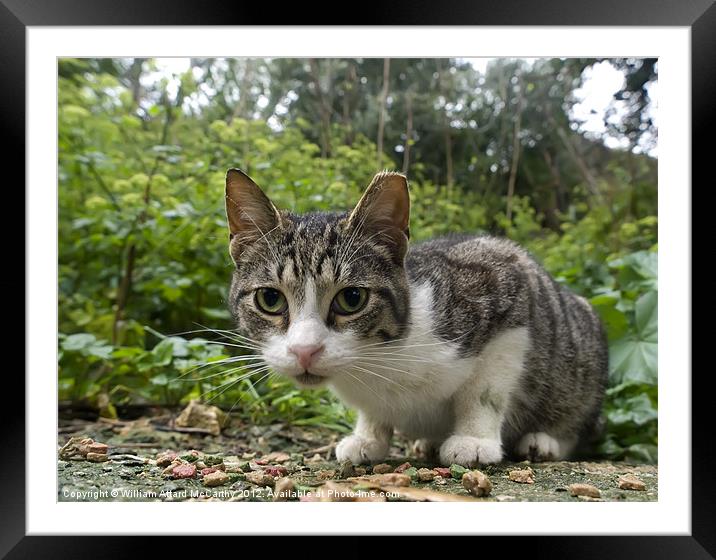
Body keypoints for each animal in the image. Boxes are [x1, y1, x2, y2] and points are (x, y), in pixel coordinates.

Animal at [222, 168, 604, 466]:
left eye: (352, 299)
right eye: (270, 299)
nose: (304, 351)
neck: (380, 360)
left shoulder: (507, 284)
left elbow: (485, 390)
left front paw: (473, 439)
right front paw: (369, 437)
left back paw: (544, 441)